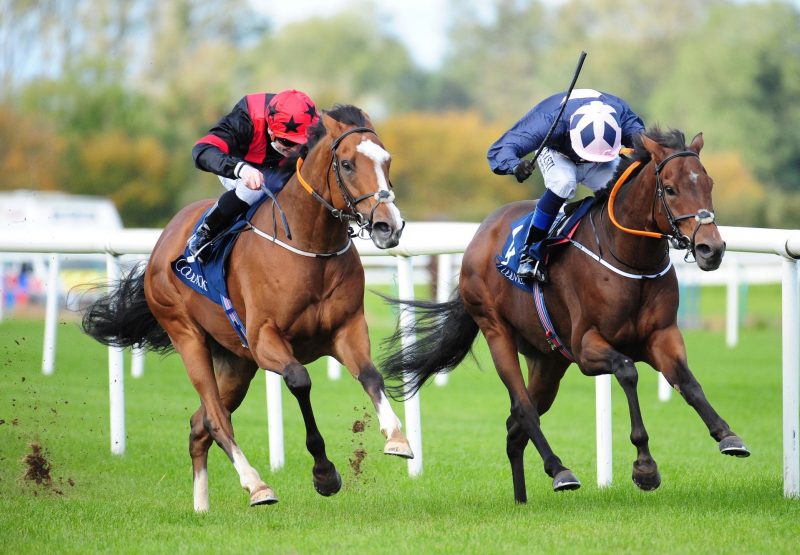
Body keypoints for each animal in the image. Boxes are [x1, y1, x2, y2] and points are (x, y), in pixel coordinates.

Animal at [83, 104, 412, 512]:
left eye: (387, 160)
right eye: (348, 164)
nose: (388, 226)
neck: (310, 246)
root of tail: (163, 240)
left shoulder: (346, 329)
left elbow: (370, 375)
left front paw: (397, 438)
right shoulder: (264, 338)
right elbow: (300, 380)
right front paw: (323, 474)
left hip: (236, 363)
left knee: (199, 425)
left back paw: (201, 506)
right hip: (187, 334)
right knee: (215, 419)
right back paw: (256, 485)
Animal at [382, 128, 752, 506]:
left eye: (708, 183)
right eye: (671, 188)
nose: (711, 248)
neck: (631, 259)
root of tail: (480, 235)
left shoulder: (661, 335)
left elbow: (687, 381)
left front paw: (727, 434)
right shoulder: (587, 347)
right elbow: (628, 371)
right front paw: (645, 467)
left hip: (548, 361)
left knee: (514, 425)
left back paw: (521, 498)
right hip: (497, 331)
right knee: (523, 408)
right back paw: (560, 471)